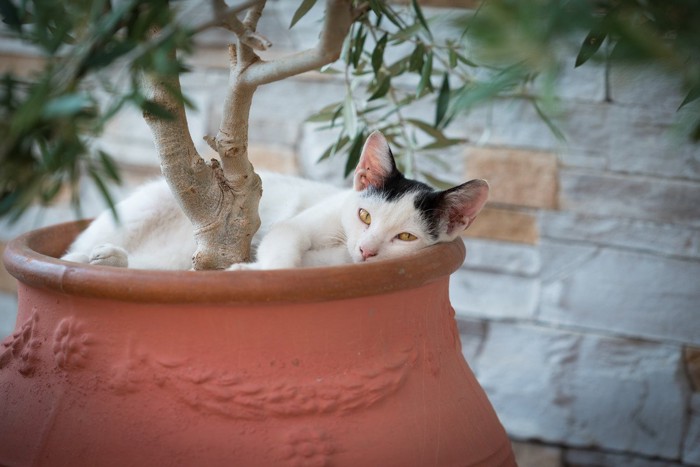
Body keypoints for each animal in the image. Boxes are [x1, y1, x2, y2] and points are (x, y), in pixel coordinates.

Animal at [63, 132, 490, 270]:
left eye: (406, 238)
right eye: (364, 215)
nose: (367, 251)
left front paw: (247, 271)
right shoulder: (298, 224)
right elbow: (284, 242)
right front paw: (254, 271)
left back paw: (112, 260)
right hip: (145, 205)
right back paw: (89, 257)